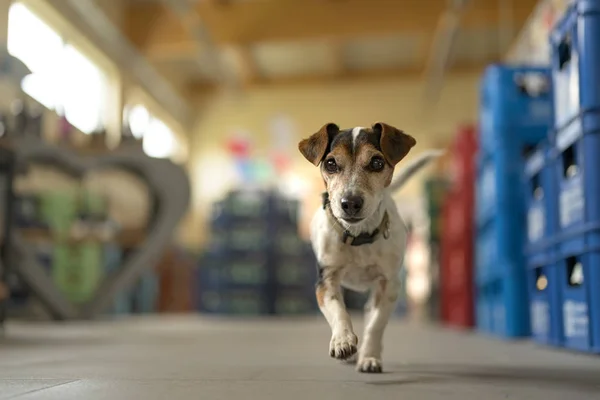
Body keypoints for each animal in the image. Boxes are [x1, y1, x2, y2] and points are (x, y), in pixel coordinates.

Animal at [298, 123, 440, 374]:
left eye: (376, 162)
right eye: (331, 163)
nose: (350, 203)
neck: (358, 236)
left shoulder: (389, 285)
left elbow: (376, 324)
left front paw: (369, 358)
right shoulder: (326, 281)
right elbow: (338, 311)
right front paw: (343, 341)